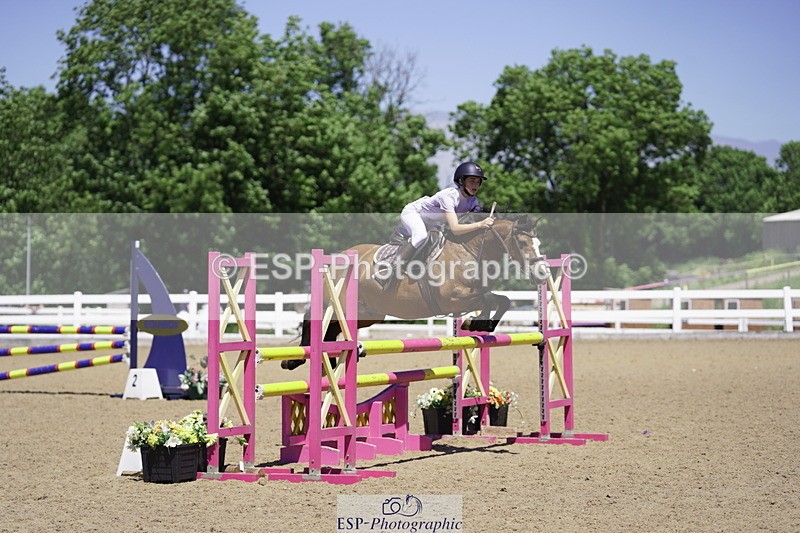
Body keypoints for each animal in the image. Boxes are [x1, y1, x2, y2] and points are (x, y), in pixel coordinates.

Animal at [282, 214, 543, 370]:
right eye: (522, 244)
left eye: (538, 244)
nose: (541, 273)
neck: (468, 251)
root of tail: (337, 258)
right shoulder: (454, 298)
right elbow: (487, 298)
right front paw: (476, 323)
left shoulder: (468, 297)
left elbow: (502, 300)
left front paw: (481, 324)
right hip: (335, 304)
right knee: (314, 324)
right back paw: (295, 360)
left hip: (367, 314)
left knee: (332, 332)